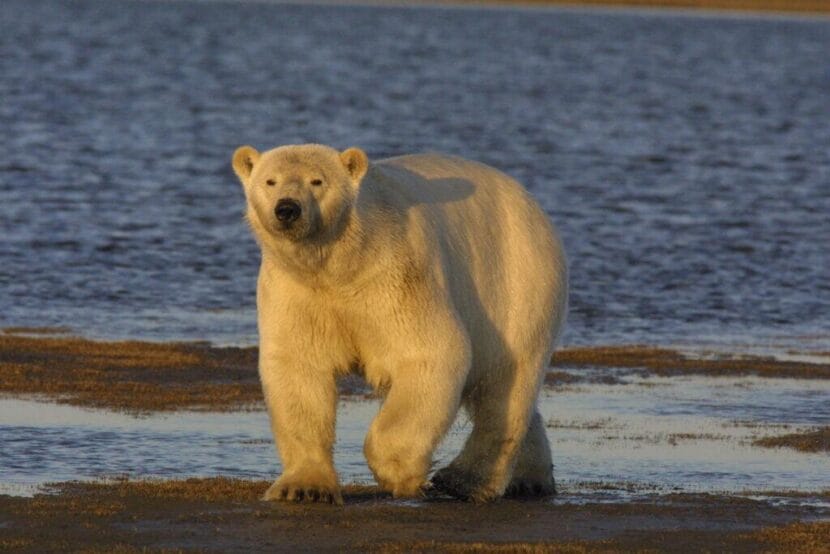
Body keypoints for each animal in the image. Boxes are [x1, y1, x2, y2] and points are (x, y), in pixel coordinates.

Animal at [231, 143, 567, 504]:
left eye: (317, 181)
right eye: (270, 181)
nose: (287, 209)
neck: (341, 264)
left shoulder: (395, 276)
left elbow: (431, 353)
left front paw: (399, 472)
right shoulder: (297, 292)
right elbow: (299, 368)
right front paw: (305, 487)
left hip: (517, 283)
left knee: (506, 381)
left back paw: (463, 481)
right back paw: (529, 478)